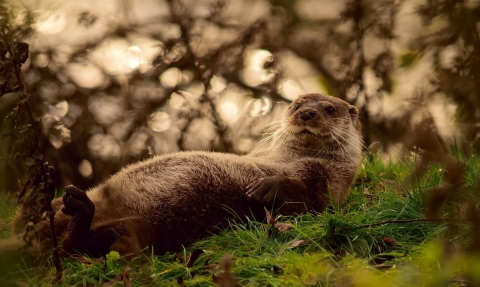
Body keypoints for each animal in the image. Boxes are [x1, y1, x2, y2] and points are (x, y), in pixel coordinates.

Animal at [9, 94, 362, 258]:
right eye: (296, 104)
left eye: (330, 109)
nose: (307, 113)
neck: (287, 157)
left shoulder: (327, 183)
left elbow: (307, 199)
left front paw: (267, 187)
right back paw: (46, 186)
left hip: (141, 228)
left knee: (74, 247)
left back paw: (79, 210)